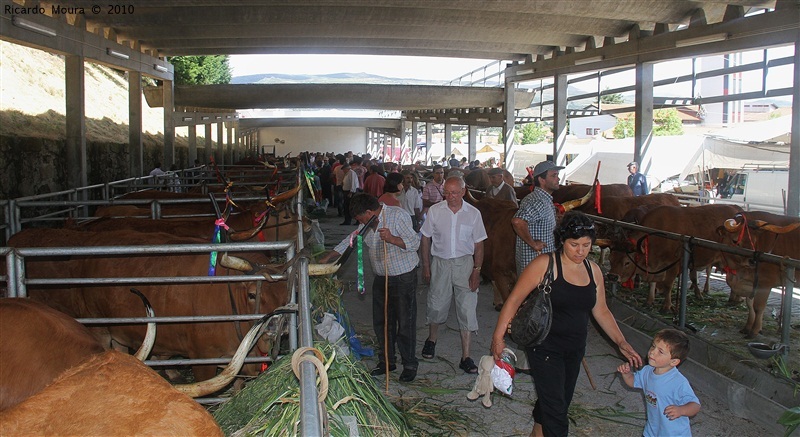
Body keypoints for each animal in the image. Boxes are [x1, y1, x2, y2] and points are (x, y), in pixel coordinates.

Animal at [608, 205, 744, 314]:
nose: (612, 277)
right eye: (610, 258)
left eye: (627, 262)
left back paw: (735, 299)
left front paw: (666, 307)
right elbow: (652, 283)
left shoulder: (674, 264)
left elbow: (668, 285)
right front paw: (649, 300)